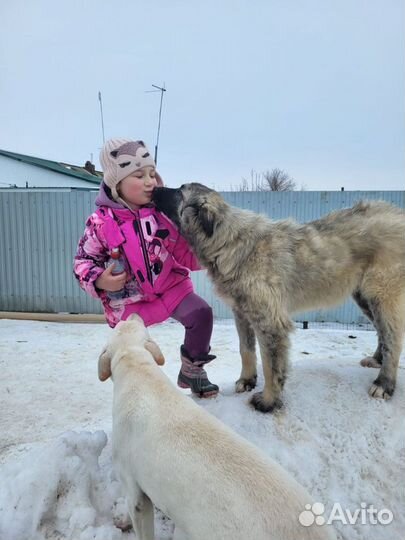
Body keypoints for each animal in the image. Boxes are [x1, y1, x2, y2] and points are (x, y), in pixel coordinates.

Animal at [98, 316, 334, 540]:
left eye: (121, 323)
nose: (132, 312)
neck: (136, 365)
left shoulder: (133, 486)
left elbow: (139, 516)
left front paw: (123, 521)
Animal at [152, 184, 404, 412]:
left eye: (179, 191)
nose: (153, 188)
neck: (230, 243)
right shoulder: (242, 313)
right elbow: (246, 350)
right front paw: (247, 381)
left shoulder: (270, 322)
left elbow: (271, 366)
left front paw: (268, 402)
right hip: (365, 298)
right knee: (383, 333)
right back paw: (377, 360)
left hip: (383, 295)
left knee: (393, 339)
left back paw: (384, 384)